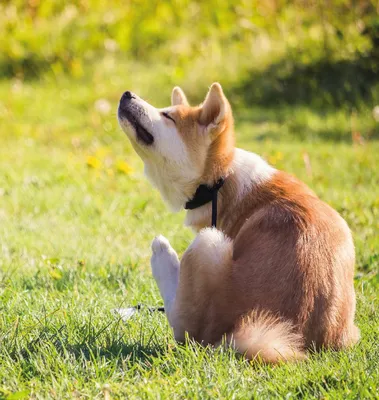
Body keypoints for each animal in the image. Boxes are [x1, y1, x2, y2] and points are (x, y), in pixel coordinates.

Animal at [117, 83, 360, 362]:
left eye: (168, 116)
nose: (127, 94)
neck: (220, 180)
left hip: (208, 243)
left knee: (182, 325)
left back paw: (162, 255)